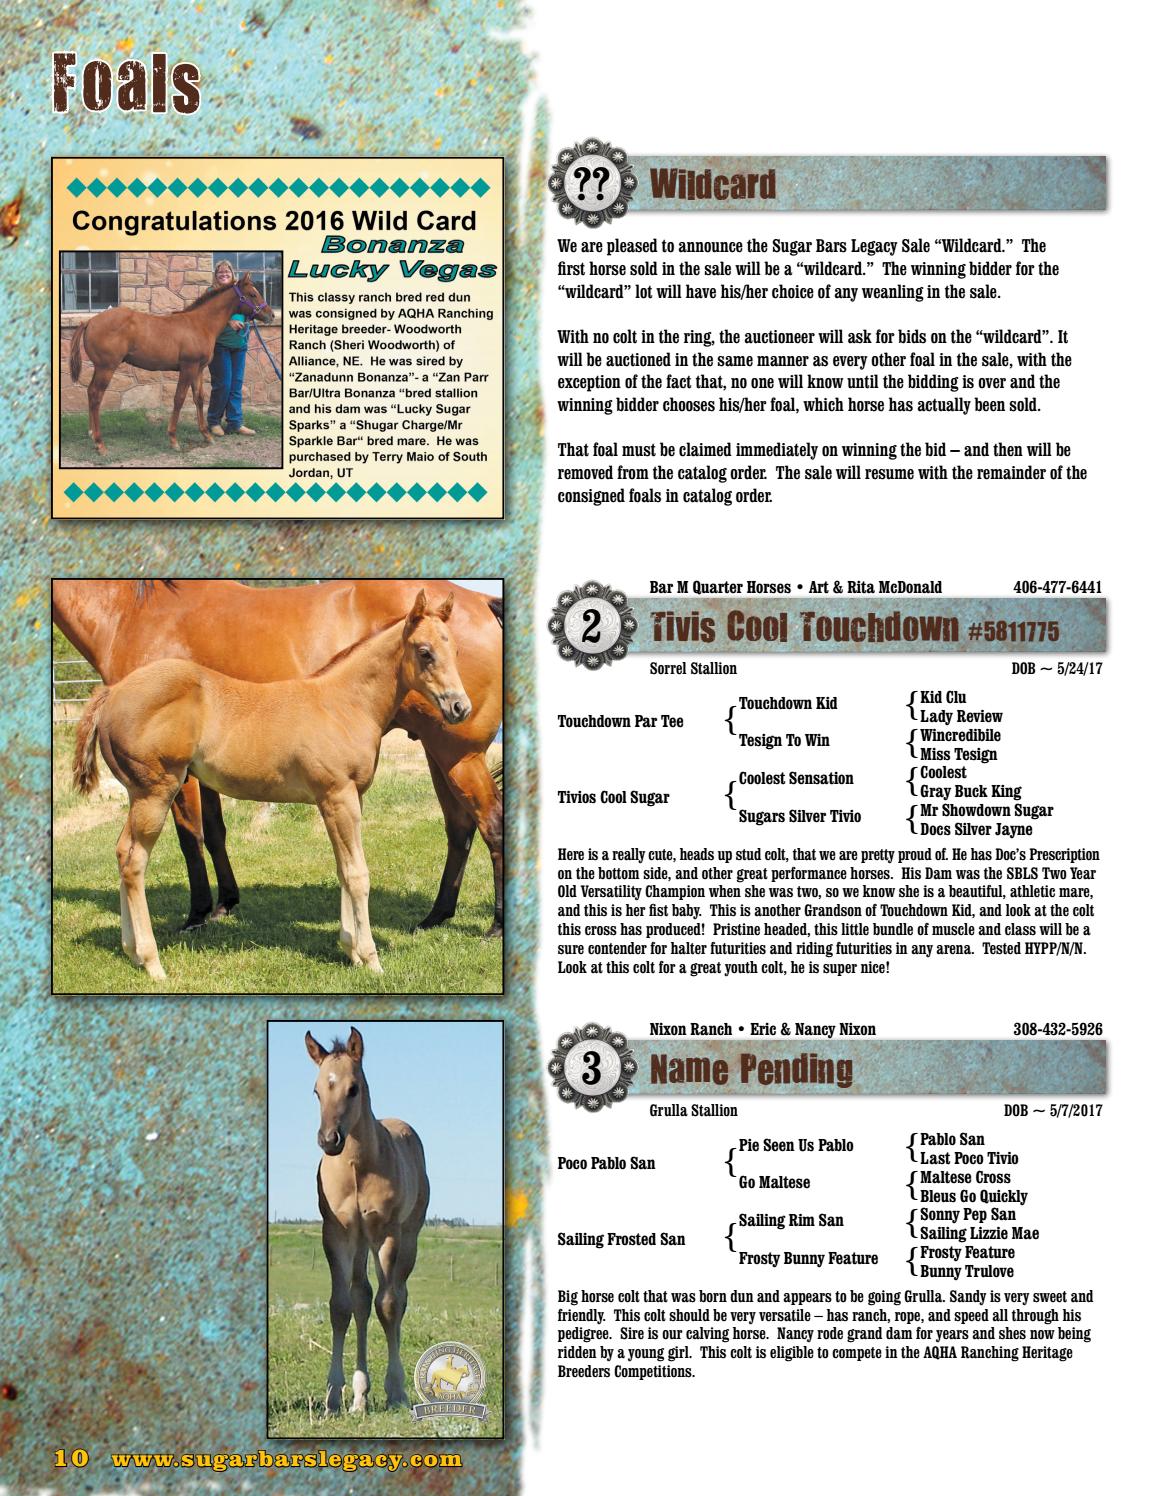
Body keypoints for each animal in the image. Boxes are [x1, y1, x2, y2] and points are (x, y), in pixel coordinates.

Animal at [52, 579, 503, 936]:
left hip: (455, 753)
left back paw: (494, 926)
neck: (131, 613)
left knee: (490, 822)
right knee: (460, 827)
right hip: (438, 752)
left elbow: (190, 836)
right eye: (425, 652)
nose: (459, 705)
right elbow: (214, 831)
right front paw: (225, 903)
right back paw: (436, 916)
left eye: (449, 652)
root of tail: (483, 600)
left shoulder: (177, 777)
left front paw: (198, 914)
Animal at [67, 271, 274, 455]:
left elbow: (199, 398)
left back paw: (91, 433)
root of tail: (89, 321)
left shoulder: (198, 370)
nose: (270, 315)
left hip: (100, 367)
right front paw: (174, 439)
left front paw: (206, 435)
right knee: (96, 395)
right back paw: (100, 443)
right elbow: (179, 399)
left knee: (90, 392)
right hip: (107, 367)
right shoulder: (188, 367)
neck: (200, 324)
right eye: (253, 294)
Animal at [306, 1027, 429, 1413]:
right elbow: (341, 1306)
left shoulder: (386, 1233)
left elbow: (388, 1305)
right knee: (361, 1297)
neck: (358, 1168)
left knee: (397, 1297)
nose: (329, 1140)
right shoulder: (336, 1234)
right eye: (317, 1090)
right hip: (360, 1243)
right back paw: (359, 1396)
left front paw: (396, 1391)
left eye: (353, 1088)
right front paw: (333, 1396)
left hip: (406, 1237)